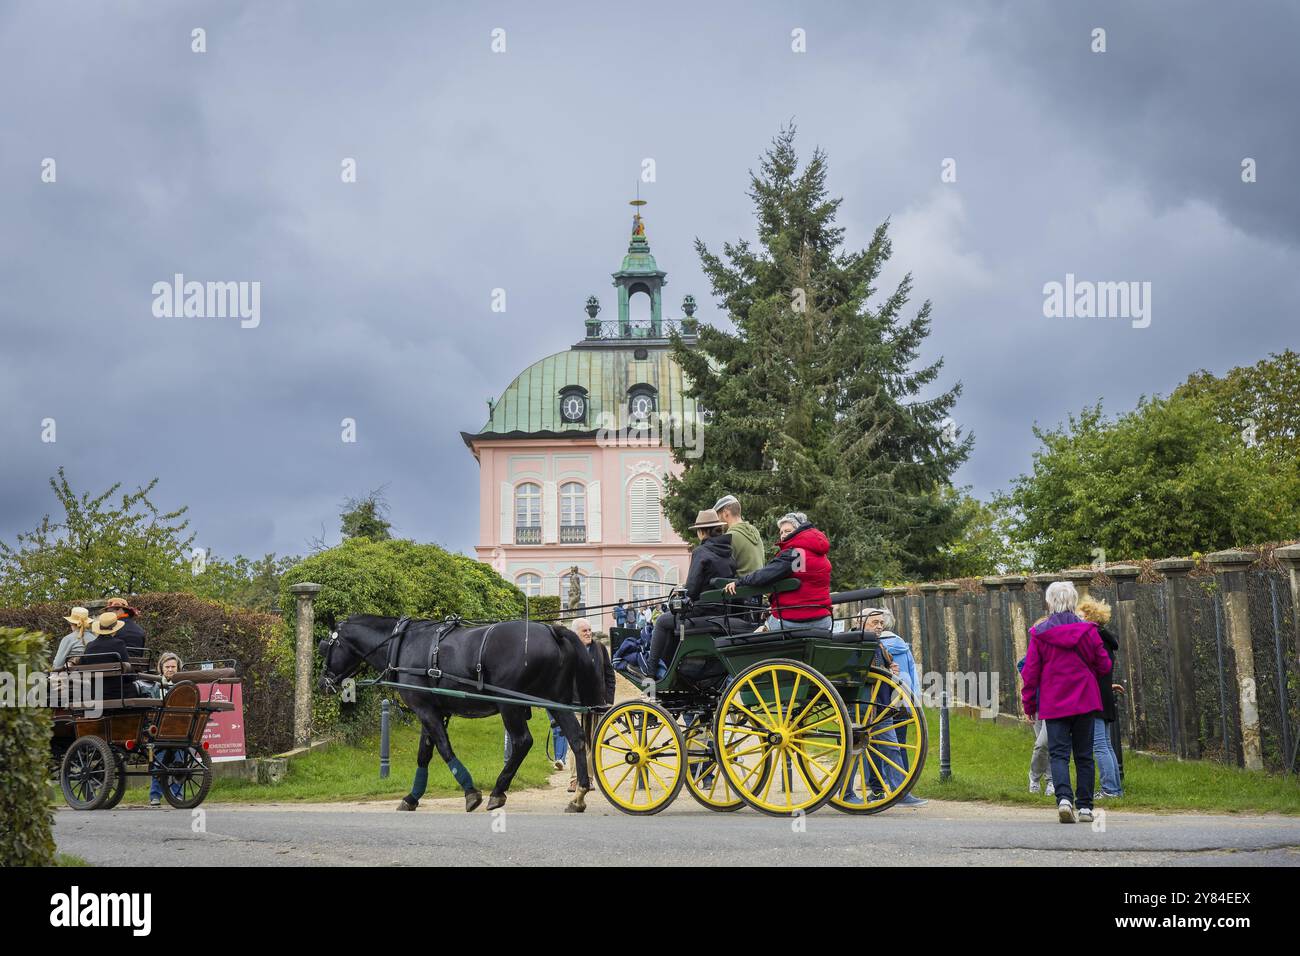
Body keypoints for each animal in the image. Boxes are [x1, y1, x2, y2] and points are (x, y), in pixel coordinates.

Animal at [317, 616, 600, 811]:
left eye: (325, 646)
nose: (322, 683)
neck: (403, 645)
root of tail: (552, 630)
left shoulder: (425, 710)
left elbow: (444, 748)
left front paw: (470, 792)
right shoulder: (431, 710)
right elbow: (424, 754)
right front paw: (412, 797)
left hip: (510, 705)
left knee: (522, 742)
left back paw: (498, 791)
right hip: (556, 701)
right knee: (576, 739)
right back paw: (579, 795)